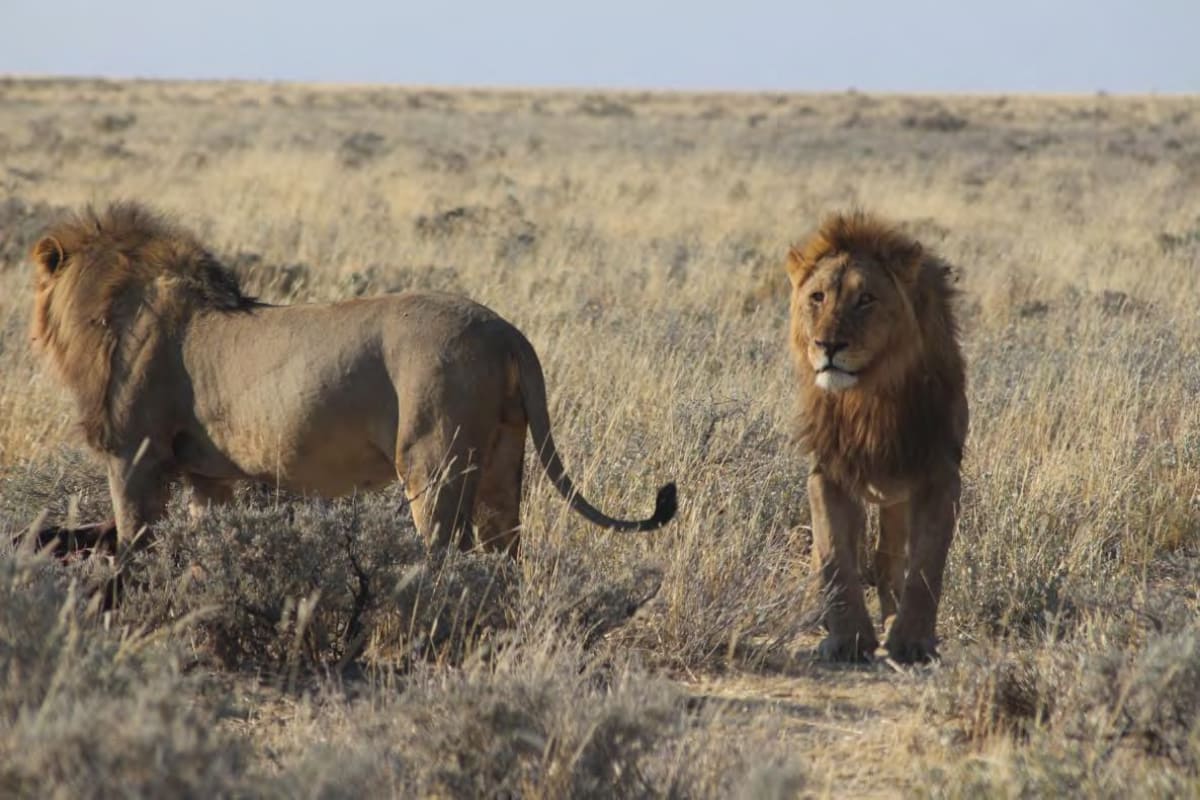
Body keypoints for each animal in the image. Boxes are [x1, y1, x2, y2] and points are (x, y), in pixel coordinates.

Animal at [30, 202, 676, 556]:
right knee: (503, 551)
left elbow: (133, 543)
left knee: (445, 551)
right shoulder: (209, 478)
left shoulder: (134, 456)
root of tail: (505, 331)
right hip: (501, 453)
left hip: (431, 460)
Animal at [787, 211, 967, 664]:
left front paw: (912, 641)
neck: (867, 399)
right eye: (817, 297)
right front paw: (847, 639)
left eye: (865, 299)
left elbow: (925, 564)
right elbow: (834, 555)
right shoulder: (827, 472)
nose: (829, 345)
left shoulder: (938, 474)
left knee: (889, 558)